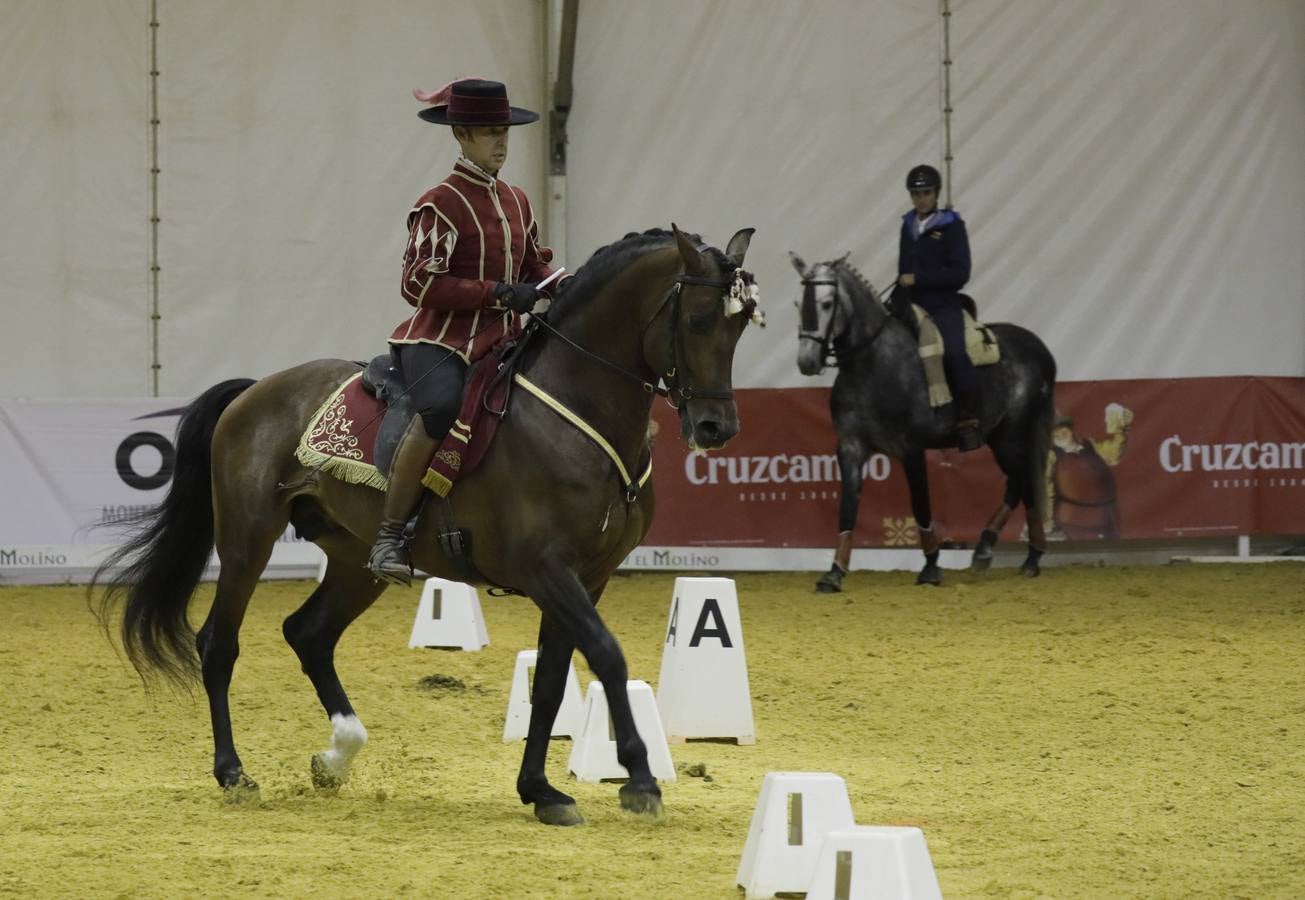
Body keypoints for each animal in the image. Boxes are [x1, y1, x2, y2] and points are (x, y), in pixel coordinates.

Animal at [93, 225, 761, 827]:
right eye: (698, 320)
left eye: (740, 325)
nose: (716, 429)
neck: (576, 413)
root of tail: (255, 390)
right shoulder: (547, 568)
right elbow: (608, 655)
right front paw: (640, 779)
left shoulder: (587, 577)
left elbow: (550, 682)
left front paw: (540, 790)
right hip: (246, 541)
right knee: (219, 643)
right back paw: (234, 772)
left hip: (356, 561)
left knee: (308, 633)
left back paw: (336, 757)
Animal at [790, 253, 1056, 590]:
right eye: (799, 303)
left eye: (826, 303)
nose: (807, 361)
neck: (873, 364)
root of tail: (1038, 348)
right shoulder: (850, 448)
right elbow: (847, 509)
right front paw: (834, 573)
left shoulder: (911, 449)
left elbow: (920, 505)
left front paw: (931, 566)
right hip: (1001, 437)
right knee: (1022, 485)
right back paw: (1015, 555)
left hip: (1013, 434)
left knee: (1020, 481)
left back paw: (1003, 551)